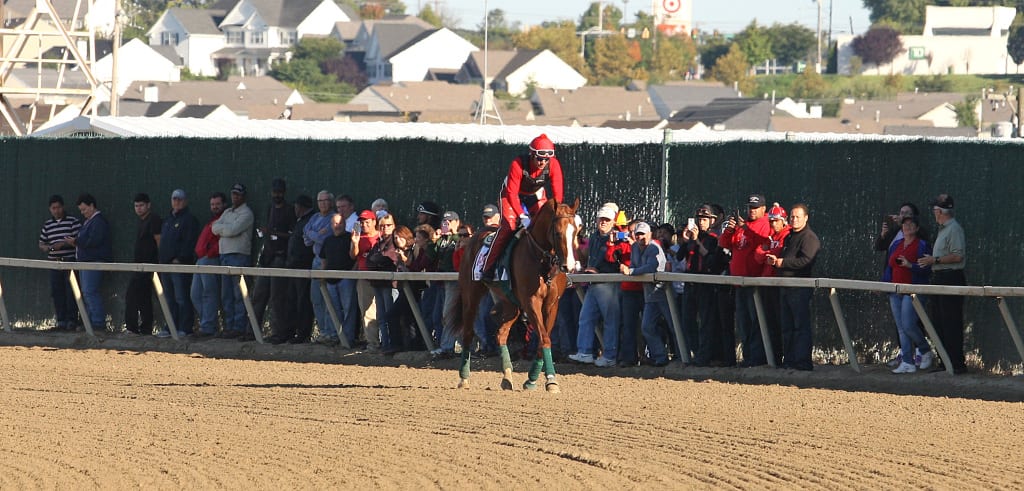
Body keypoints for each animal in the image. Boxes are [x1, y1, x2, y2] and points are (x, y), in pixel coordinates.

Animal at [446, 197, 581, 393]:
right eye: (557, 233)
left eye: (577, 231)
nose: (568, 265)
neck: (542, 262)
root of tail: (473, 238)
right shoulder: (531, 302)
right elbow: (544, 338)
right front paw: (551, 380)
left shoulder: (552, 304)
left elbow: (543, 339)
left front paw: (533, 380)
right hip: (471, 295)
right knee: (468, 334)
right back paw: (464, 378)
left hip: (511, 305)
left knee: (501, 334)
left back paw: (507, 376)